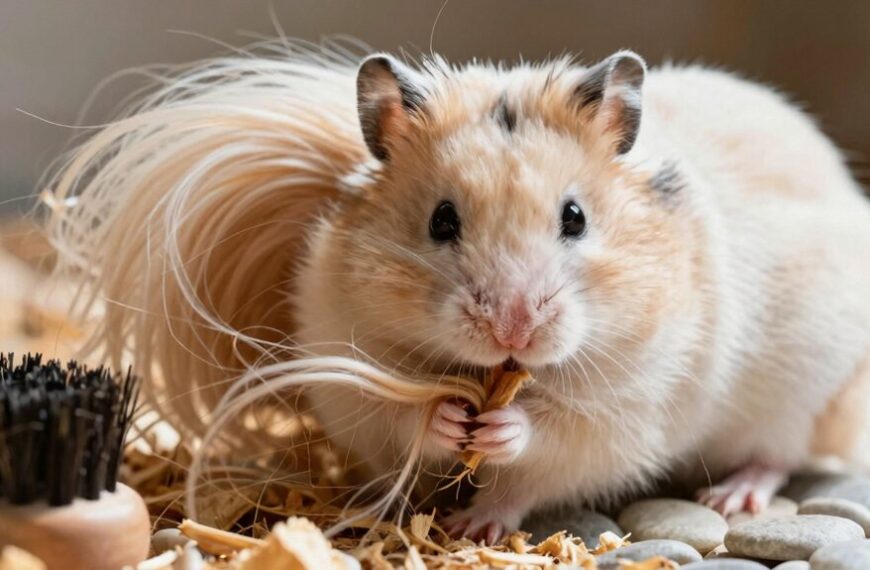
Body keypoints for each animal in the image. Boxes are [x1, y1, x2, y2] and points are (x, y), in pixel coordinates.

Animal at [296, 51, 870, 542]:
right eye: (441, 220)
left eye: (575, 218)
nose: (513, 330)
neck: (500, 375)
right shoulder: (344, 367)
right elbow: (398, 416)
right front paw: (449, 417)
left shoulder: (624, 412)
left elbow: (543, 450)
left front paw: (479, 505)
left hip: (801, 399)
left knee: (779, 457)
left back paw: (729, 496)